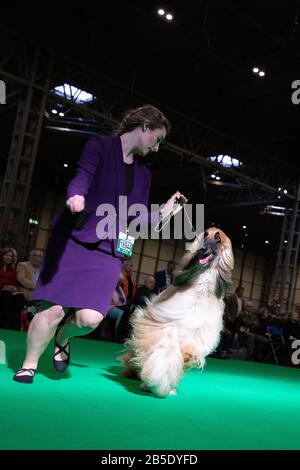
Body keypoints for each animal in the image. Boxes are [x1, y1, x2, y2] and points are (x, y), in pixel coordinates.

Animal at [120, 228, 233, 396]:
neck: (201, 288)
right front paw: (159, 378)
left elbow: (188, 352)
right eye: (205, 235)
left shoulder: (198, 335)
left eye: (218, 238)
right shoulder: (163, 322)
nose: (202, 249)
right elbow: (166, 344)